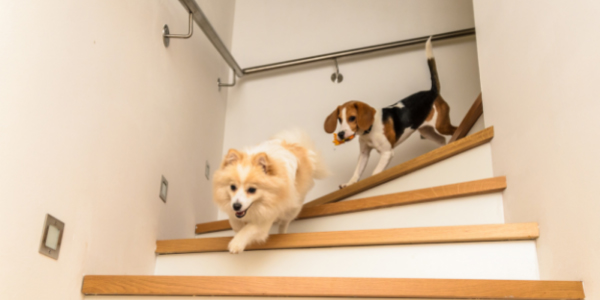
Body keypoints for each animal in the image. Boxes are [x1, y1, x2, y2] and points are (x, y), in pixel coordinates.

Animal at [326, 37, 458, 188]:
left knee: (454, 129)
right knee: (441, 139)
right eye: (339, 119)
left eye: (352, 118)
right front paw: (349, 183)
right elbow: (357, 171)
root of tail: (432, 92)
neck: (369, 131)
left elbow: (375, 173)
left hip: (441, 125)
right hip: (426, 131)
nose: (341, 134)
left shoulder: (386, 153)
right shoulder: (364, 154)